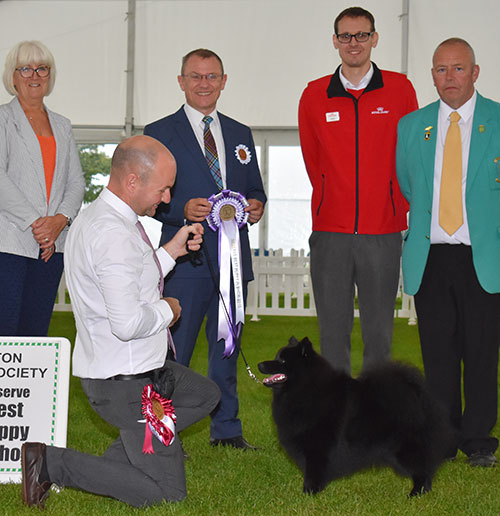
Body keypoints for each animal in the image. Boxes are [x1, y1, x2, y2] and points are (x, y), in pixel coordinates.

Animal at [260, 336, 456, 498]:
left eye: (282, 360)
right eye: (277, 356)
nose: (259, 365)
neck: (306, 389)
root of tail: (419, 395)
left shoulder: (318, 447)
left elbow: (313, 472)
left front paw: (308, 493)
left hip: (406, 449)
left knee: (423, 471)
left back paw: (416, 493)